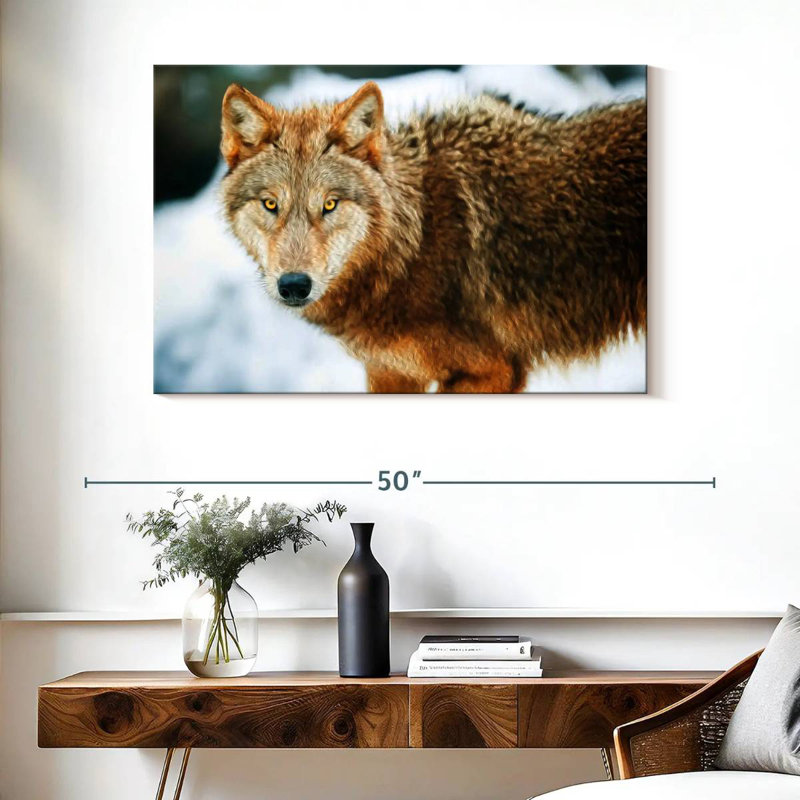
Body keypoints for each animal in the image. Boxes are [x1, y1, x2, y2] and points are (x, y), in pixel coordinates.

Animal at [220, 81, 646, 392]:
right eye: (271, 204)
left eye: (329, 204)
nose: (294, 285)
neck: (414, 241)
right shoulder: (389, 373)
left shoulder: (494, 370)